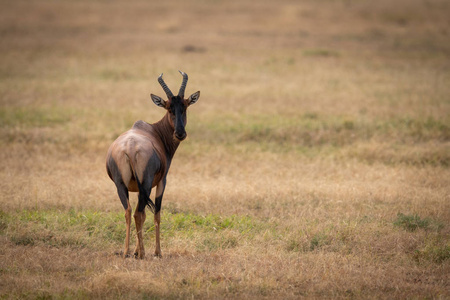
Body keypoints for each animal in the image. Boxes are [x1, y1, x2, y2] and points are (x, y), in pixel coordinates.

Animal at [106, 71, 200, 258]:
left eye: (185, 106)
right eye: (169, 107)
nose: (180, 133)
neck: (154, 131)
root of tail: (130, 148)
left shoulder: (136, 188)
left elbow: (141, 214)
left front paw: (136, 250)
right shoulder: (162, 182)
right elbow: (156, 214)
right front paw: (157, 252)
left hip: (121, 185)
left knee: (129, 212)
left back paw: (127, 251)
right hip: (148, 183)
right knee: (138, 213)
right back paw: (142, 253)